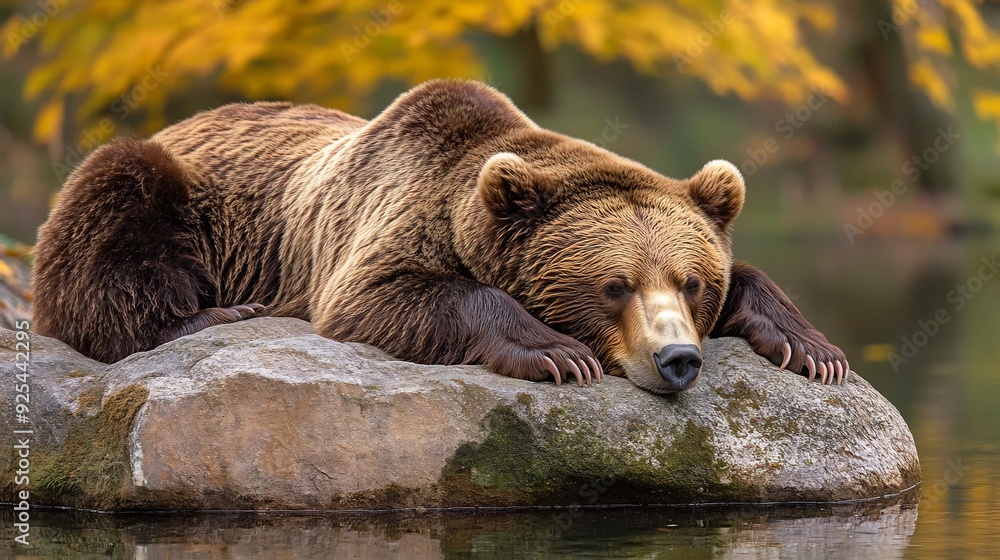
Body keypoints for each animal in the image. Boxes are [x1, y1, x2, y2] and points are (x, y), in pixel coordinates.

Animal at [32, 80, 848, 394]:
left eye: (693, 282)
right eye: (613, 285)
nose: (678, 359)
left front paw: (811, 347)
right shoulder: (374, 229)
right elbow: (384, 297)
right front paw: (557, 352)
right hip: (170, 191)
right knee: (113, 211)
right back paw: (210, 314)